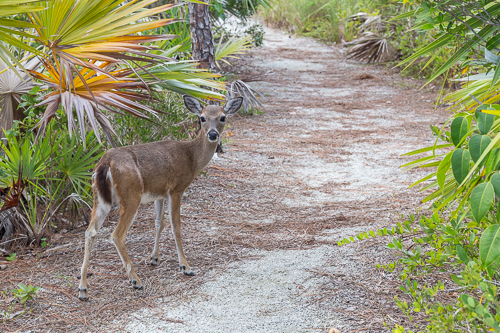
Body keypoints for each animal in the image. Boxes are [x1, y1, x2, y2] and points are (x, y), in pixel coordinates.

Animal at [77, 94, 243, 300]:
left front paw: (154, 258)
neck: (192, 158)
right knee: (117, 235)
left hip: (99, 198)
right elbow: (176, 226)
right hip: (131, 195)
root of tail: (105, 164)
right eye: (202, 118)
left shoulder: (159, 193)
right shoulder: (176, 188)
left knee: (90, 231)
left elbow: (159, 223)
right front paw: (185, 266)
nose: (212, 134)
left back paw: (83, 289)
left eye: (222, 117)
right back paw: (135, 280)